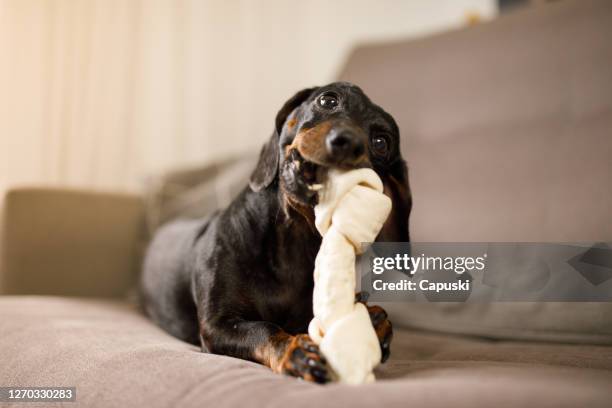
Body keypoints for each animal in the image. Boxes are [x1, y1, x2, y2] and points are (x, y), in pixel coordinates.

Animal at [141, 82, 412, 382]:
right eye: (328, 99)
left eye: (381, 142)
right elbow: (264, 328)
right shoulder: (217, 325)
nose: (349, 142)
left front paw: (374, 321)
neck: (292, 241)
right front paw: (295, 351)